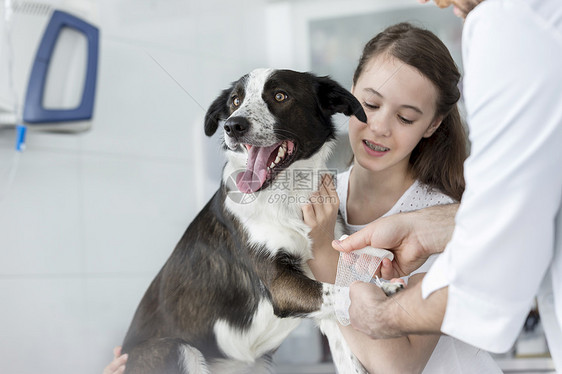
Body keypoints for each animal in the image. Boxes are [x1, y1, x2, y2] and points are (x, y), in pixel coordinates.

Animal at [122, 68, 378, 372]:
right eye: (235, 101)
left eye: (280, 96)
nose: (233, 126)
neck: (287, 196)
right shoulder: (280, 285)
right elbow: (344, 290)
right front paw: (387, 289)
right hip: (177, 348)